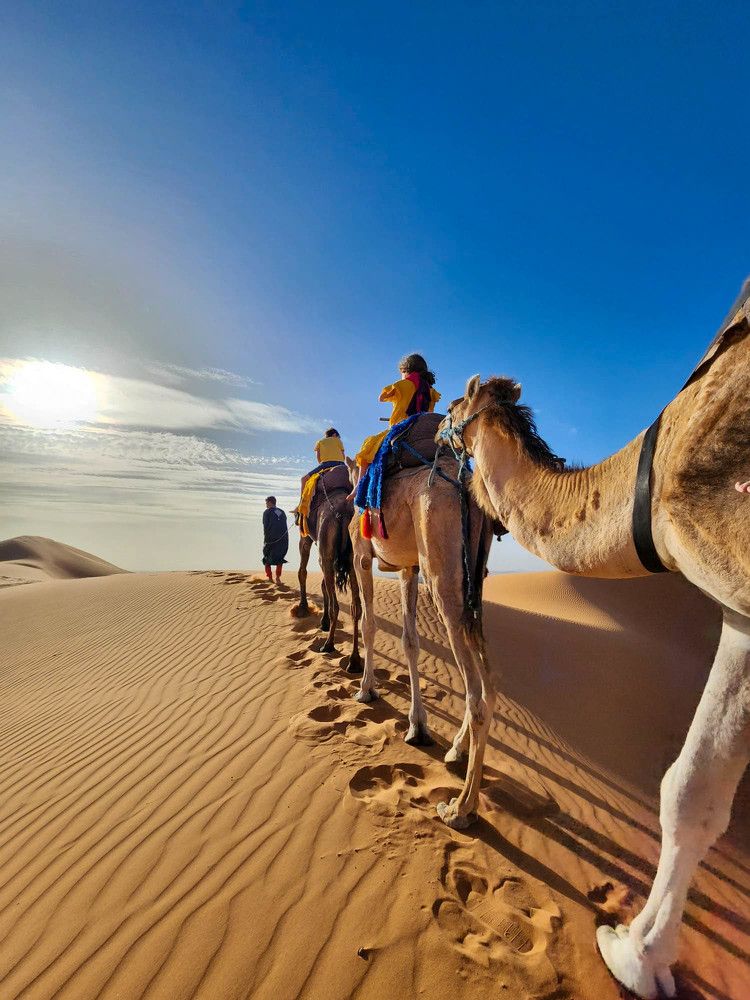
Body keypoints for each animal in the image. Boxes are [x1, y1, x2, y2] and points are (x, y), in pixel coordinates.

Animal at [293, 483, 363, 674]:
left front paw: (303, 608)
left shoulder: (306, 537)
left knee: (335, 606)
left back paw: (328, 645)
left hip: (326, 549)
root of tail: (344, 514)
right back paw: (355, 661)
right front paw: (322, 622)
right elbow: (323, 584)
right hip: (353, 559)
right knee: (356, 607)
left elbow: (302, 572)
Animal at [347, 449, 496, 818]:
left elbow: (370, 624)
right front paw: (417, 726)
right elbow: (410, 640)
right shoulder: (407, 566)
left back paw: (461, 808)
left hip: (441, 570)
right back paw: (456, 750)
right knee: (489, 683)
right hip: (475, 578)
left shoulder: (361, 554)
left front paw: (365, 690)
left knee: (476, 697)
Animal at [439, 292, 750, 999]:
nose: (437, 430)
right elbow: (705, 799)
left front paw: (635, 954)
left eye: (451, 409)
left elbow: (684, 789)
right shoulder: (741, 612)